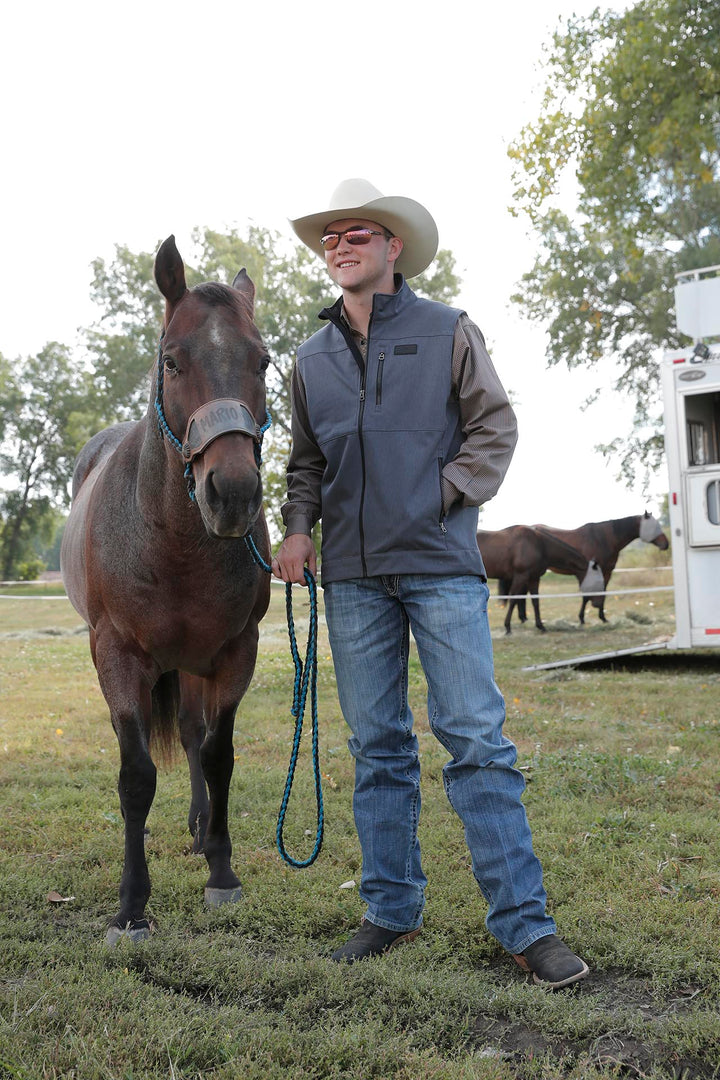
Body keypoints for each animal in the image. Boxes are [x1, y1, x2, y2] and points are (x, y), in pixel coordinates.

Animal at [59, 232, 272, 941]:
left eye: (264, 362)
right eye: (172, 361)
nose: (231, 493)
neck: (174, 542)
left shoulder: (235, 652)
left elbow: (218, 754)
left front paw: (222, 873)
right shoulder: (118, 656)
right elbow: (135, 777)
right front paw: (131, 905)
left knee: (192, 734)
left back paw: (203, 832)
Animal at [535, 514, 669, 626]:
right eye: (653, 526)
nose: (666, 544)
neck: (603, 539)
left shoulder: (606, 572)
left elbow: (603, 592)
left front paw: (603, 618)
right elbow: (587, 596)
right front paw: (582, 619)